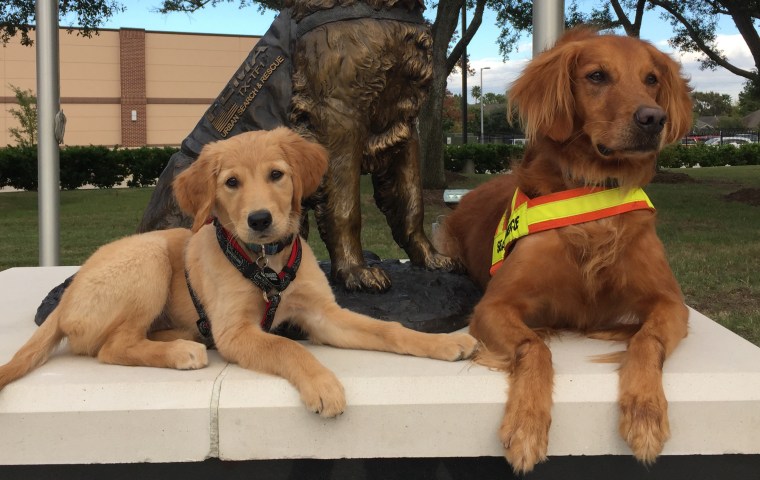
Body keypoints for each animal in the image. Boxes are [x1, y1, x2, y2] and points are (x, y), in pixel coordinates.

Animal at [0, 128, 476, 416]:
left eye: (277, 175)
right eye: (231, 183)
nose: (260, 220)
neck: (266, 263)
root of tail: (65, 302)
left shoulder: (324, 314)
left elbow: (388, 329)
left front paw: (443, 342)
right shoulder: (236, 330)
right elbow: (289, 348)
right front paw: (323, 384)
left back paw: (183, 338)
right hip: (149, 258)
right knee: (112, 347)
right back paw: (181, 352)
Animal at [434, 29, 696, 472]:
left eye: (651, 79)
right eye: (597, 76)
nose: (653, 119)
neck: (591, 191)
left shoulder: (670, 302)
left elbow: (647, 341)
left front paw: (645, 414)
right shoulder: (494, 305)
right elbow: (534, 347)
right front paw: (526, 424)